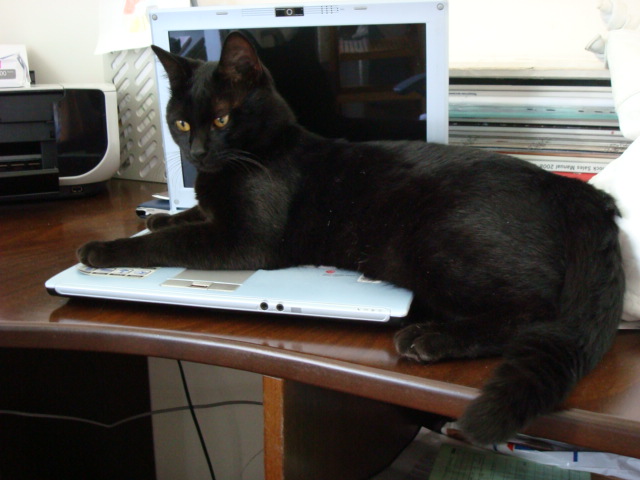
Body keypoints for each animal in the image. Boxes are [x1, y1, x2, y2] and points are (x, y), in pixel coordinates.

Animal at [78, 32, 625, 445]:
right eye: (181, 122)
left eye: (222, 119)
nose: (196, 153)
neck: (259, 153)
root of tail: (572, 190)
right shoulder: (214, 215)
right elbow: (184, 219)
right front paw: (160, 218)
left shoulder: (244, 240)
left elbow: (167, 243)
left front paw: (101, 250)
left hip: (439, 245)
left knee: (532, 313)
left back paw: (427, 338)